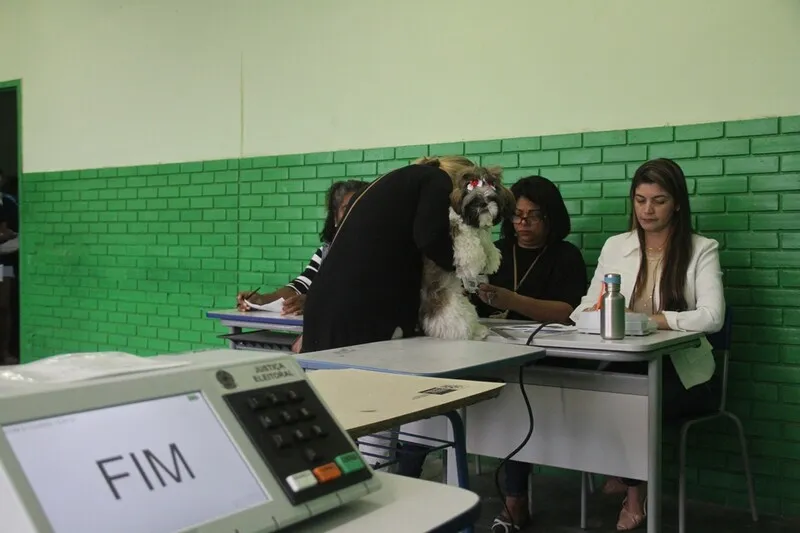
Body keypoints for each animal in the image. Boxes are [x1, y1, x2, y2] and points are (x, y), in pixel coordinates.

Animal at [418, 166, 512, 340]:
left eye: (491, 197)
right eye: (474, 200)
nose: (483, 203)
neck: (474, 225)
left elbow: (486, 243)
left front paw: (491, 257)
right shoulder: (457, 231)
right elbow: (468, 244)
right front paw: (478, 259)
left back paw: (479, 330)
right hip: (452, 308)